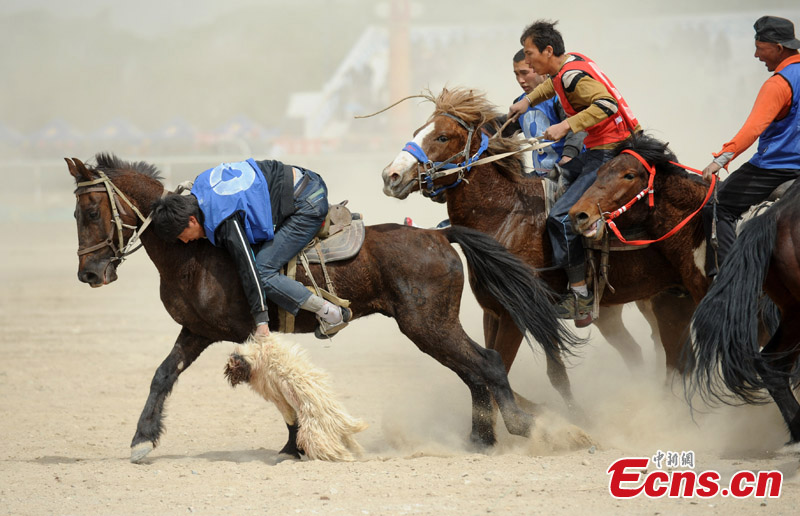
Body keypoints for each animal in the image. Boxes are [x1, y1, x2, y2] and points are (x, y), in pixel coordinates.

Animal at [64, 151, 576, 462]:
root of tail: (438, 234)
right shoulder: (196, 331)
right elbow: (163, 375)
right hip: (433, 327)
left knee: (486, 363)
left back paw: (519, 428)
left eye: (88, 212)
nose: (89, 274)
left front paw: (295, 444)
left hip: (428, 325)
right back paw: (479, 440)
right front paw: (142, 439)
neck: (197, 251)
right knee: (474, 371)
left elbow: (280, 384)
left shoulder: (234, 326)